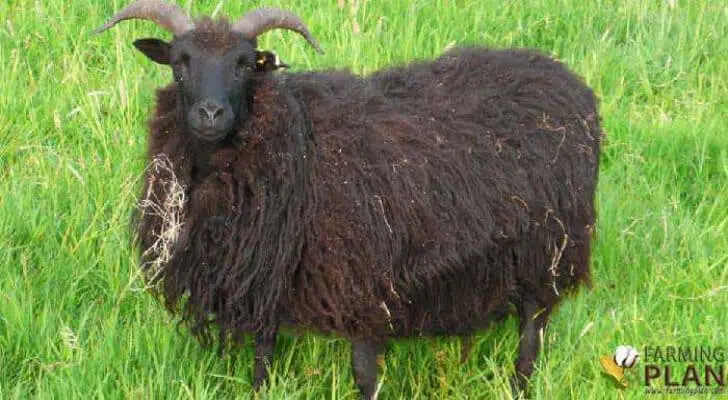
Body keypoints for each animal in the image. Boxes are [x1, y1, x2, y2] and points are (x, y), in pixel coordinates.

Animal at [96, 1, 604, 398]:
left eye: (243, 64)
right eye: (179, 62)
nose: (210, 113)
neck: (293, 137)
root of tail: (564, 76)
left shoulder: (361, 282)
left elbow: (363, 373)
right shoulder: (264, 277)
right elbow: (262, 357)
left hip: (548, 253)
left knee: (530, 337)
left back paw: (520, 386)